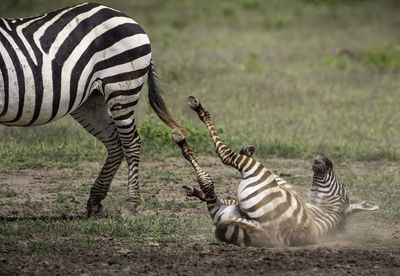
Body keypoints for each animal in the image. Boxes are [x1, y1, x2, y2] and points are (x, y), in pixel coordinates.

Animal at [0, 2, 188, 218]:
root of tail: (123, 15)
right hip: (90, 100)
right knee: (114, 141)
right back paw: (95, 200)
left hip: (121, 87)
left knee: (131, 142)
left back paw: (130, 204)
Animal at [173, 96, 378, 247]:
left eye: (343, 187)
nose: (325, 158)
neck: (326, 209)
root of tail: (266, 230)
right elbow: (226, 197)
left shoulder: (282, 183)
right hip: (227, 214)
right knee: (211, 191)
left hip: (254, 174)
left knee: (221, 161)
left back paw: (187, 130)